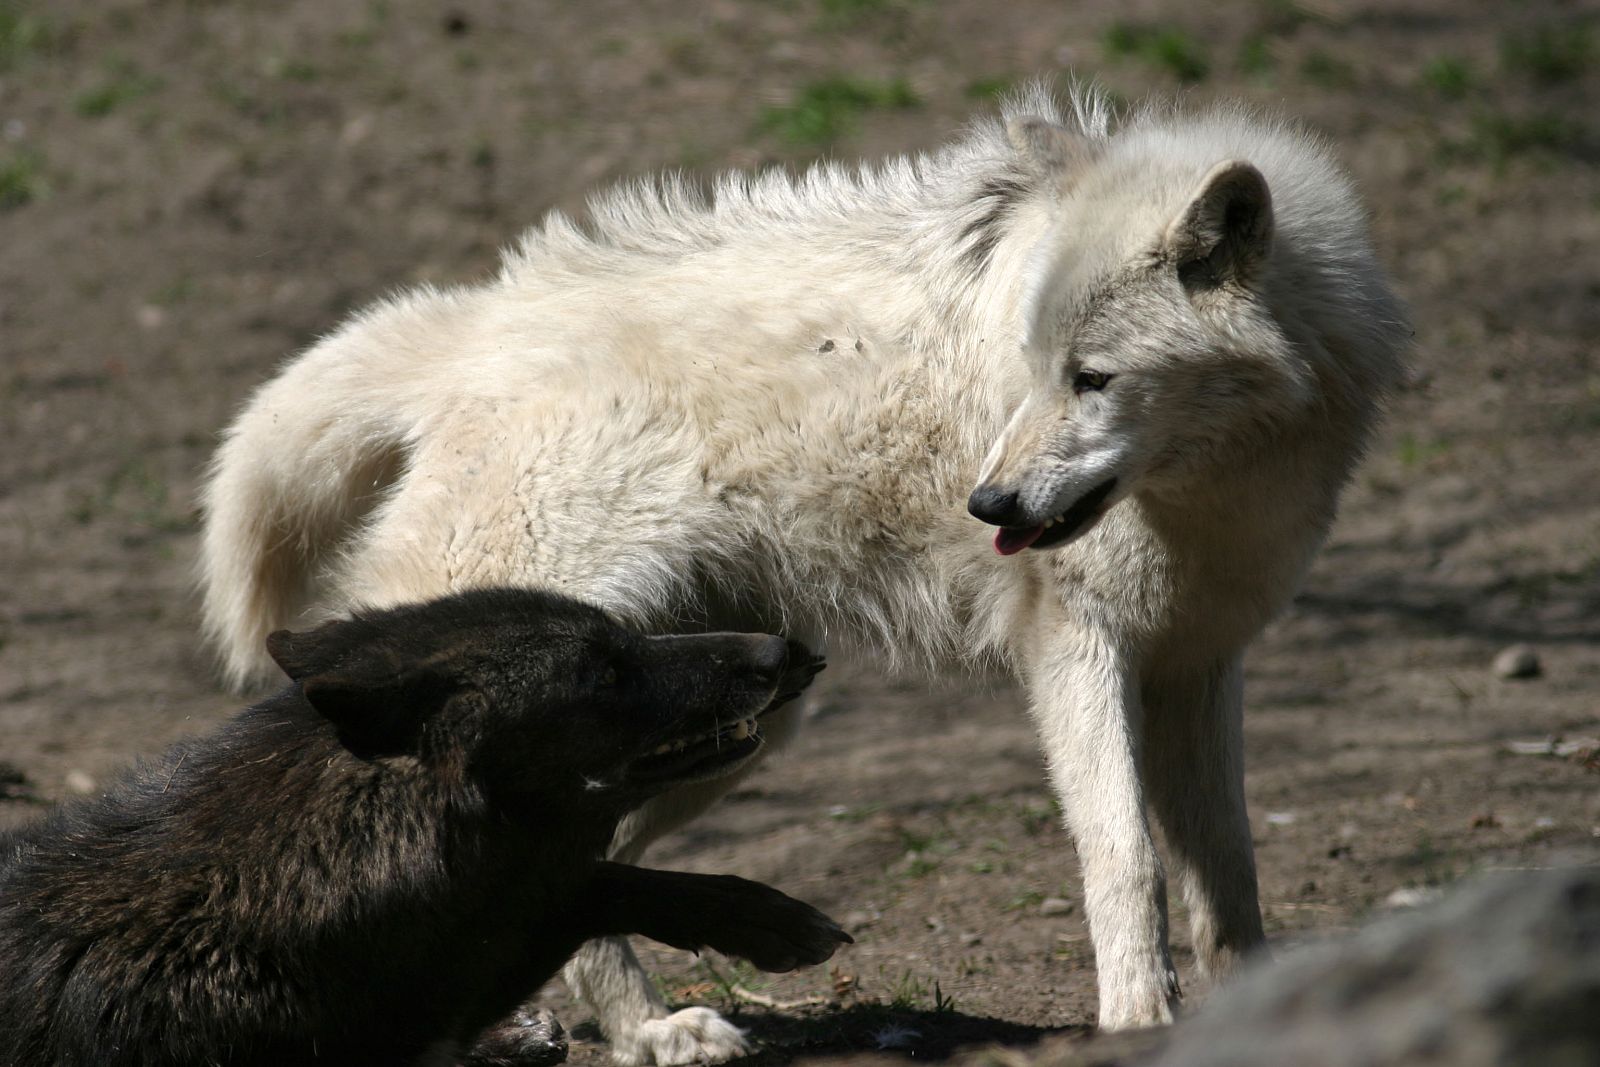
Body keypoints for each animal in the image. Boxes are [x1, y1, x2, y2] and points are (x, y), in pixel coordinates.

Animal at [0, 589, 846, 1067]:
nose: (784, 649)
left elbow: (602, 880)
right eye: (607, 672)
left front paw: (758, 915)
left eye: (630, 641)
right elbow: (586, 889)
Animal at [198, 84, 1407, 1060]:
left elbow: (1227, 880)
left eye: (1092, 378)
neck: (1216, 479)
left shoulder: (1198, 661)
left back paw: (612, 1028)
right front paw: (1140, 1022)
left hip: (741, 724)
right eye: (1030, 372)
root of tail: (468, 328)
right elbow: (1128, 863)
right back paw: (637, 1032)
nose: (989, 507)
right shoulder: (1076, 649)